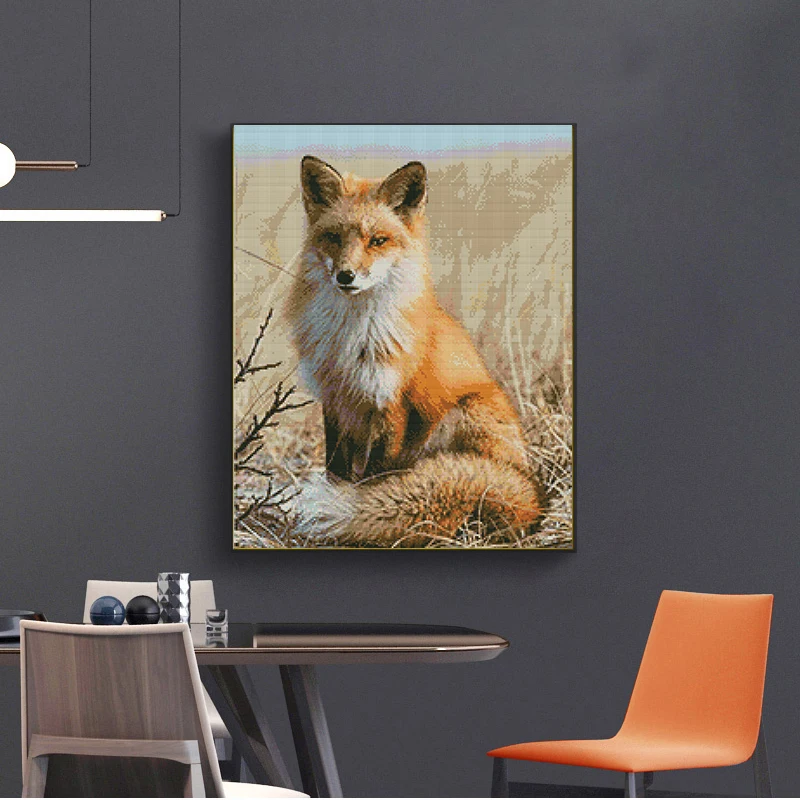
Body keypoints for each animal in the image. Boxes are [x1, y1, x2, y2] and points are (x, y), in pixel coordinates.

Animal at [286, 155, 543, 546]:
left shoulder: (392, 403)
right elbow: (335, 466)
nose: (345, 276)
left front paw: (360, 510)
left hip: (461, 414)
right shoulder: (335, 400)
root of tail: (531, 493)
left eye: (378, 240)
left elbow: (375, 476)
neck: (353, 338)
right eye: (333, 237)